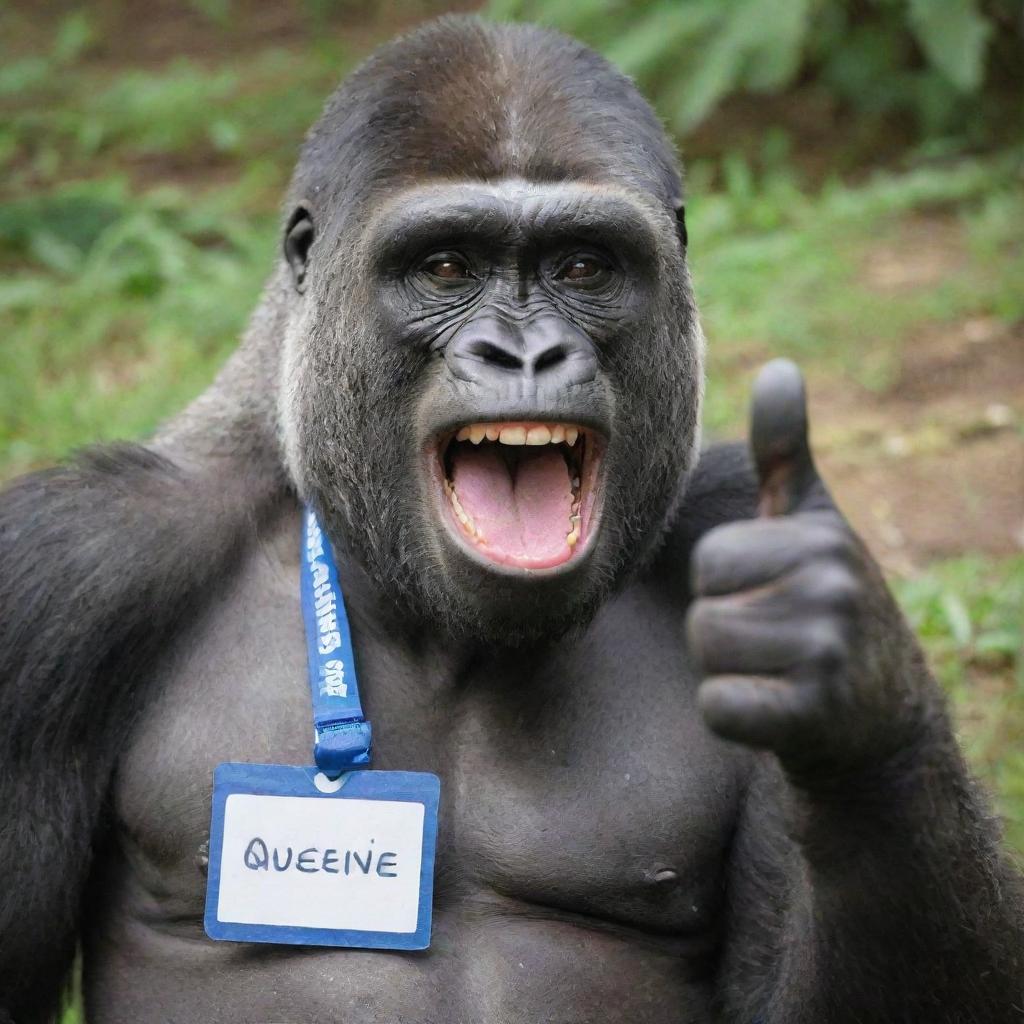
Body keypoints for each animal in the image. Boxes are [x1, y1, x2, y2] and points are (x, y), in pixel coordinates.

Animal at [2, 16, 1024, 1024]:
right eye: (446, 265)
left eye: (584, 266)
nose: (525, 353)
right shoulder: (69, 569)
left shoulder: (728, 506)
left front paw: (857, 696)